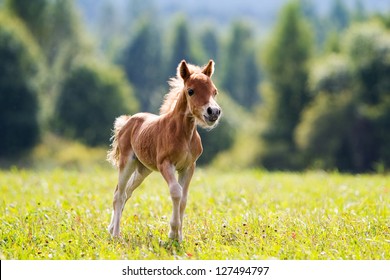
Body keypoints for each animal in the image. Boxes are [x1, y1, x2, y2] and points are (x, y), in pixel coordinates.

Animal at [106, 59, 221, 241]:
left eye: (214, 91)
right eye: (191, 91)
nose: (214, 112)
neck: (183, 133)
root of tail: (128, 121)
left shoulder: (189, 167)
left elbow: (184, 199)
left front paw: (179, 237)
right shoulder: (165, 164)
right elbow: (176, 192)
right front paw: (173, 232)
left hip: (143, 170)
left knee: (126, 193)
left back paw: (111, 229)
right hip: (127, 162)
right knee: (119, 195)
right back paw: (116, 234)